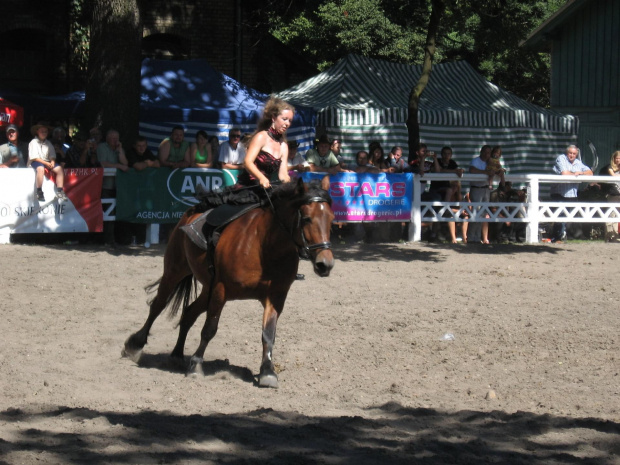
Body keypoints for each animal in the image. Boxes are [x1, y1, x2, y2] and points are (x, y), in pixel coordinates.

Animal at [121, 176, 334, 386]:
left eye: (331, 219)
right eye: (306, 218)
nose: (325, 264)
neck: (264, 247)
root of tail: (191, 211)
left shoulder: (275, 296)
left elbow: (268, 333)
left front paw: (267, 371)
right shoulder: (220, 290)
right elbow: (209, 329)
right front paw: (196, 365)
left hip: (207, 288)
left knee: (189, 313)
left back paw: (177, 355)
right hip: (175, 271)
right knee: (158, 305)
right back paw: (135, 344)